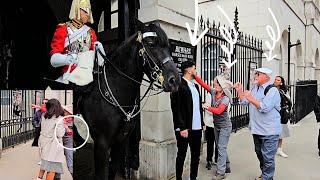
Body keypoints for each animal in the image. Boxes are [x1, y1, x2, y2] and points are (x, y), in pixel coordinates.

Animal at [76, 21, 179, 180]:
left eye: (169, 47)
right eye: (151, 44)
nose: (175, 81)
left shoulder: (120, 141)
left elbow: (112, 169)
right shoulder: (101, 143)